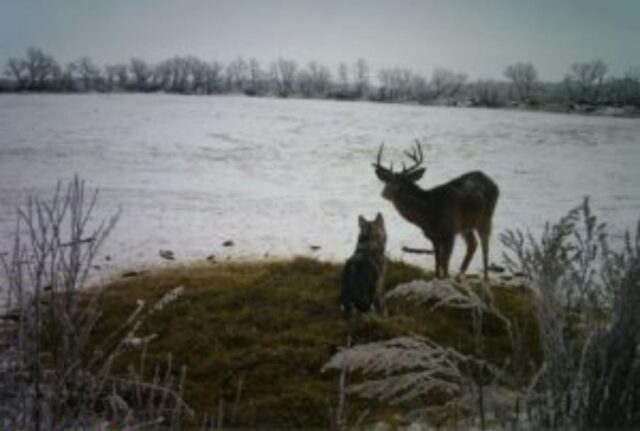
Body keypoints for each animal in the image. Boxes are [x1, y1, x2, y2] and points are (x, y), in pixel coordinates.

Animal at [370, 141, 500, 280]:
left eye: (402, 184)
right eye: (387, 181)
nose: (384, 193)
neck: (429, 213)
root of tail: (491, 181)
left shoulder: (450, 231)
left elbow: (445, 263)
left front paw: (446, 278)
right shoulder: (434, 237)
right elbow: (437, 262)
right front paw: (438, 277)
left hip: (487, 215)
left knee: (485, 243)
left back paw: (485, 277)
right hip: (466, 224)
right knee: (473, 244)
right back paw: (460, 275)